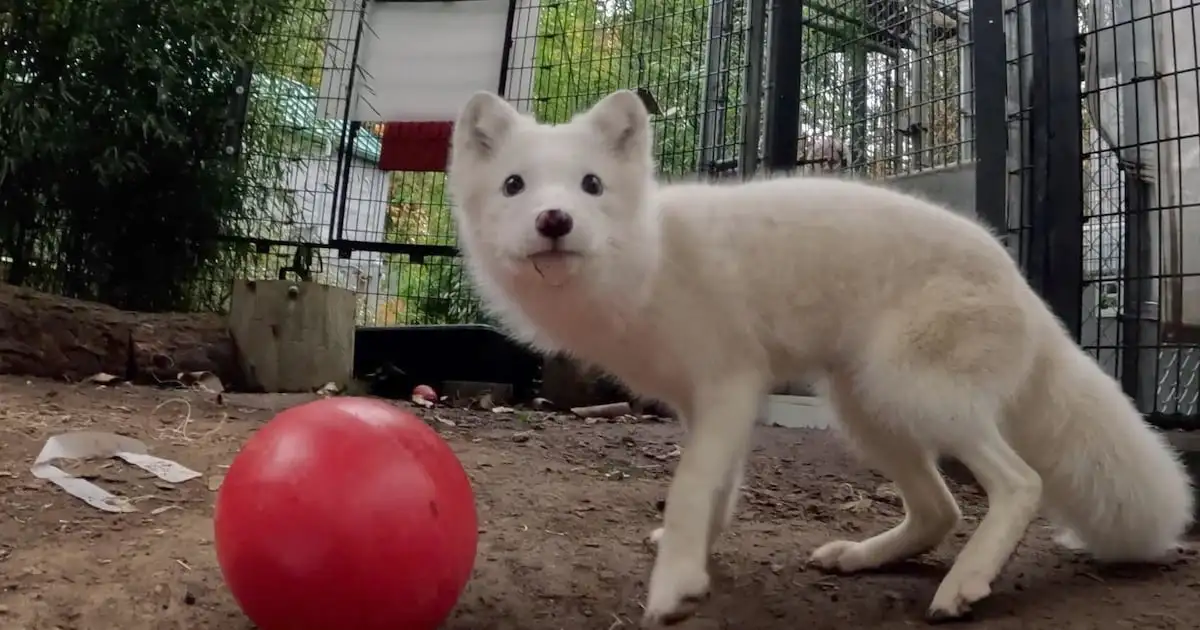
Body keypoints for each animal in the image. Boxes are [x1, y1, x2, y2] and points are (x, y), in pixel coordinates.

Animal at [446, 88, 1195, 624]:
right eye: (514, 186)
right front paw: (697, 563)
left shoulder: (730, 382)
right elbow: (717, 492)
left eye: (591, 185)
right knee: (940, 511)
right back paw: (863, 557)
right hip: (867, 409)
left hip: (914, 394)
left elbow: (689, 489)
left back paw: (963, 586)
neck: (649, 258)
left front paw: (674, 590)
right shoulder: (706, 402)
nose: (554, 222)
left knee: (1020, 484)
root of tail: (1023, 285)